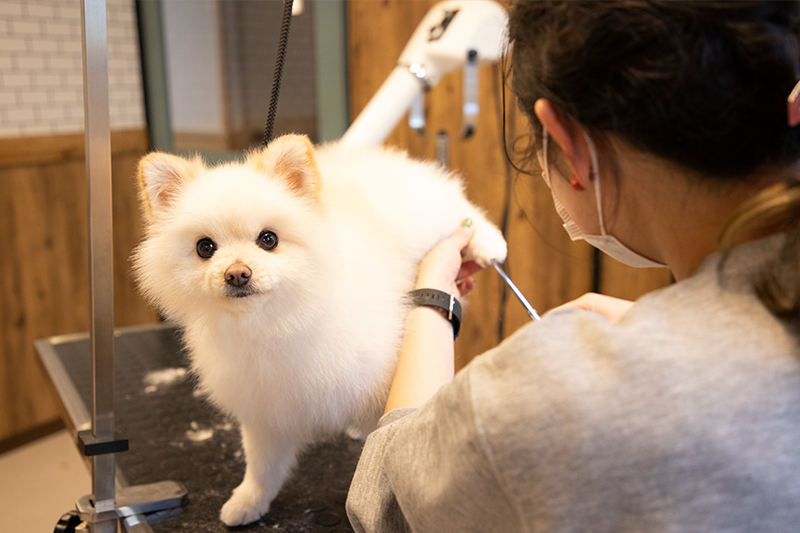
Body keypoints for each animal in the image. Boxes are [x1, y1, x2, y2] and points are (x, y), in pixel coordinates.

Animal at [131, 133, 506, 524]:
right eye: (205, 247)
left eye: (268, 239)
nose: (236, 274)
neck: (274, 322)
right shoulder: (267, 410)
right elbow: (262, 466)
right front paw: (248, 501)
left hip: (431, 217)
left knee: (464, 213)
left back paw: (489, 242)